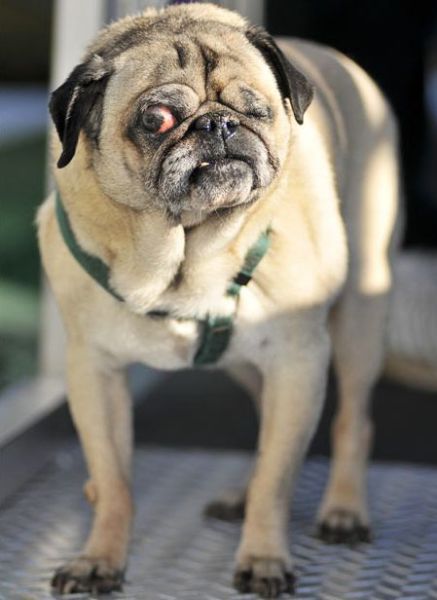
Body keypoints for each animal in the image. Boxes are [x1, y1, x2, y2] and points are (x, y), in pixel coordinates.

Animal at [38, 2, 402, 596]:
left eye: (256, 111)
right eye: (157, 120)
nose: (219, 123)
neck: (183, 258)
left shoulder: (298, 362)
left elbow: (278, 479)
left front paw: (264, 558)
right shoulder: (94, 370)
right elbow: (112, 481)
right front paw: (101, 558)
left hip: (358, 320)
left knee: (354, 419)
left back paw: (345, 510)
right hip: (247, 362)